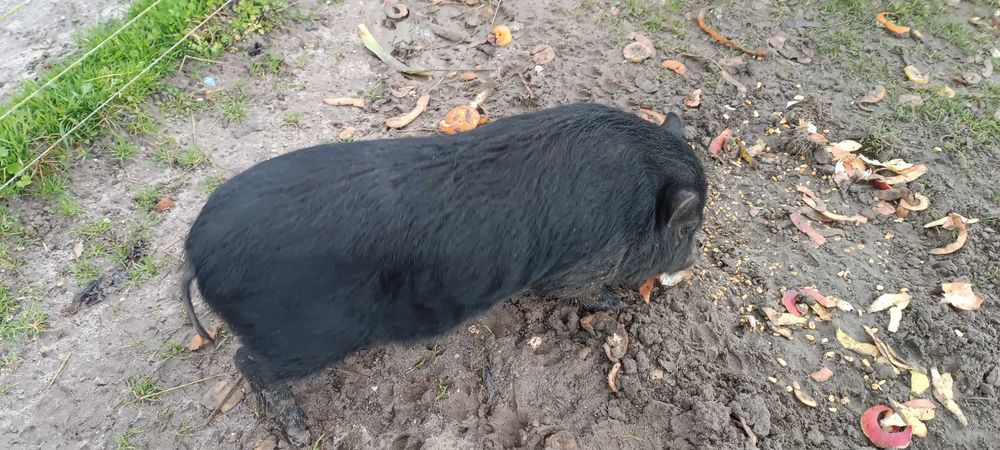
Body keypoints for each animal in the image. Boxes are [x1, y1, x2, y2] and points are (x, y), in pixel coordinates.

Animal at [181, 103, 707, 444]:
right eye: (689, 227)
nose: (693, 261)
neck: (637, 204)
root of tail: (194, 253)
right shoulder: (578, 264)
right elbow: (577, 289)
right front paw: (616, 303)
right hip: (301, 338)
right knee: (247, 363)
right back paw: (298, 430)